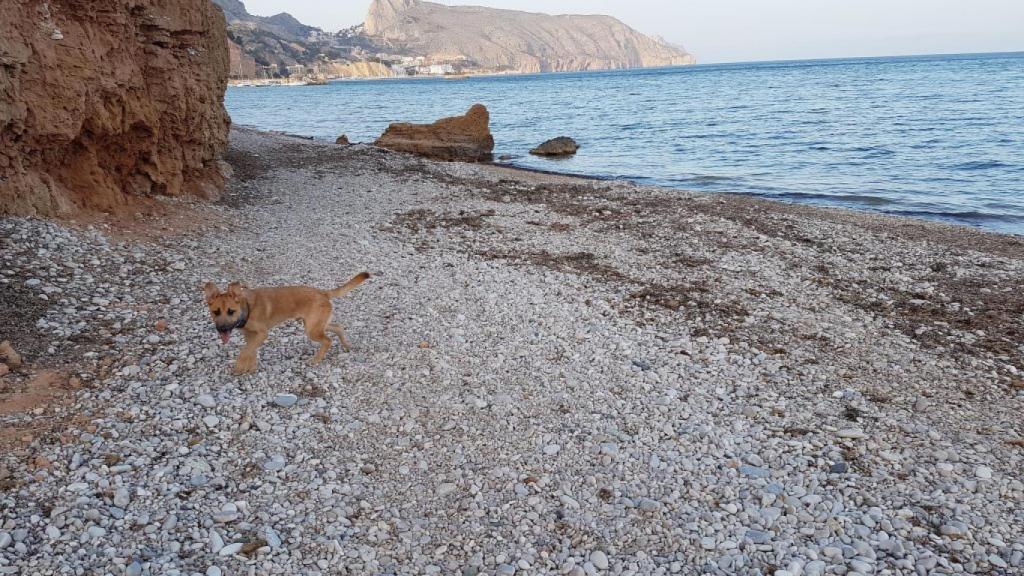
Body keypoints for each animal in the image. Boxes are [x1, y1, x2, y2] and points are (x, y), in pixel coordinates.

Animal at [201, 272, 370, 375]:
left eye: (231, 311)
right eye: (215, 312)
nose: (222, 329)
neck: (246, 308)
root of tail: (322, 292)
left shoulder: (262, 334)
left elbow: (245, 351)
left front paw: (239, 367)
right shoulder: (251, 336)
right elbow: (250, 351)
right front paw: (250, 368)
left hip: (312, 330)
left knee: (328, 340)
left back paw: (316, 360)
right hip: (315, 324)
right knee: (338, 327)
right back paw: (346, 344)